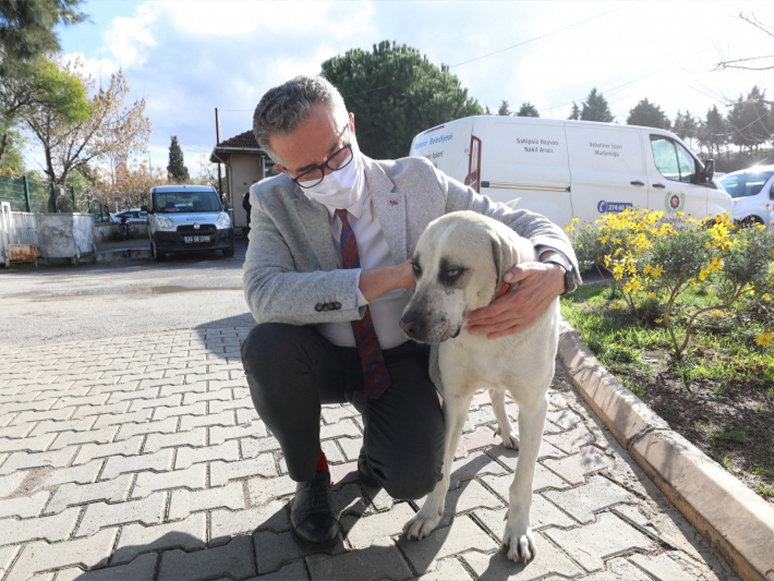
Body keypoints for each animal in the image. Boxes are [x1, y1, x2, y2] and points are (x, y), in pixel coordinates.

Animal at [400, 211, 556, 564]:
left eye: (452, 272)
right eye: (416, 268)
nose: (407, 325)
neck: (485, 337)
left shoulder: (534, 405)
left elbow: (523, 481)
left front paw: (518, 532)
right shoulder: (454, 401)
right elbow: (441, 469)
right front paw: (428, 514)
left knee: (498, 394)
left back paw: (509, 433)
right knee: (495, 393)